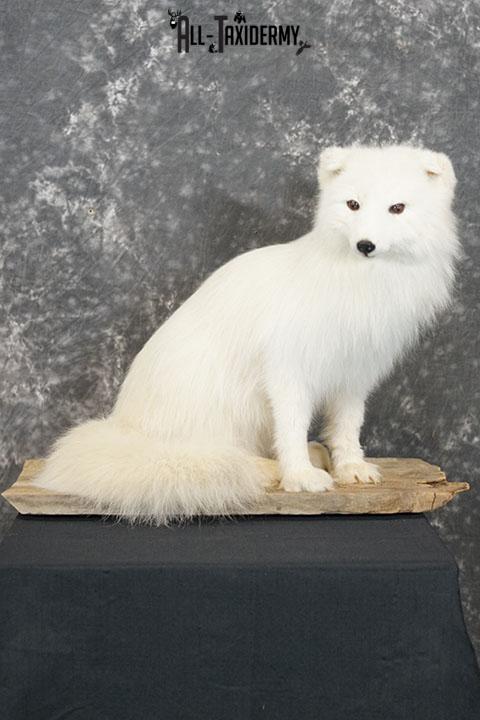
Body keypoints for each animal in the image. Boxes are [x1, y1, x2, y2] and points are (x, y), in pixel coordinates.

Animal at [34, 144, 460, 523]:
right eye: (352, 205)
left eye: (397, 208)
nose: (365, 245)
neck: (362, 282)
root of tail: (124, 429)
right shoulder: (288, 369)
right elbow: (291, 426)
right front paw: (299, 476)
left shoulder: (355, 375)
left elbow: (346, 427)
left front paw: (350, 466)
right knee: (219, 460)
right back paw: (272, 469)